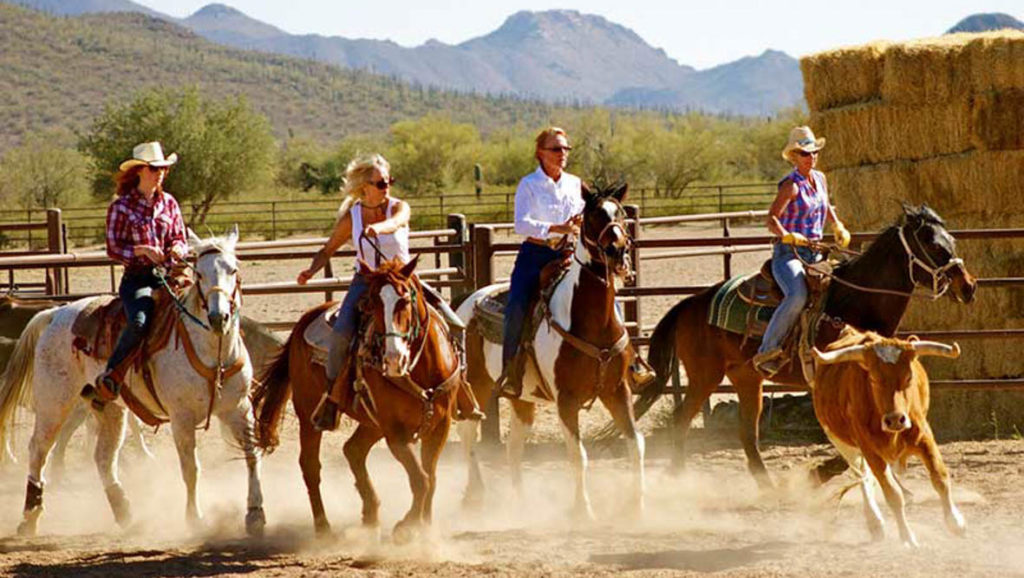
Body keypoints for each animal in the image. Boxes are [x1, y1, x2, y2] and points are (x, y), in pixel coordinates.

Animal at [0, 226, 268, 537]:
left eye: (233, 269)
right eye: (199, 274)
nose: (218, 317)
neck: (213, 351)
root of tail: (56, 313)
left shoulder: (239, 409)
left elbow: (251, 455)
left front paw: (255, 514)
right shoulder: (182, 418)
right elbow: (191, 468)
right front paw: (194, 518)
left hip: (109, 408)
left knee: (103, 457)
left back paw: (125, 512)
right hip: (53, 402)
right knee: (39, 450)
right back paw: (29, 517)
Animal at [253, 257, 462, 541]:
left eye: (404, 300)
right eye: (372, 303)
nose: (392, 359)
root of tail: (301, 324)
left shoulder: (440, 425)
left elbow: (431, 477)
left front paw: (425, 527)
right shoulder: (395, 431)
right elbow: (421, 479)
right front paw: (406, 527)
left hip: (372, 422)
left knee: (352, 450)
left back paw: (370, 515)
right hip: (309, 414)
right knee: (310, 465)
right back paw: (323, 528)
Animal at [454, 181, 638, 518]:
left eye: (620, 213)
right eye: (594, 215)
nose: (618, 251)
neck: (591, 320)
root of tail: (467, 301)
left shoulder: (617, 390)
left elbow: (635, 444)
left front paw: (637, 506)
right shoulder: (567, 399)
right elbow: (577, 455)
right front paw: (583, 511)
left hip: (521, 399)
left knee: (513, 448)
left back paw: (522, 503)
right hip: (476, 385)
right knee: (468, 436)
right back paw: (475, 494)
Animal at [634, 202, 978, 487]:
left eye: (952, 241)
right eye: (933, 244)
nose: (969, 286)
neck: (853, 301)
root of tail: (691, 303)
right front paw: (819, 473)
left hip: (747, 379)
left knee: (747, 433)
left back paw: (768, 486)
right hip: (705, 376)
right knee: (682, 418)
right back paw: (678, 476)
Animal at [811, 329, 962, 545]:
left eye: (908, 377)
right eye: (874, 379)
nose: (895, 419)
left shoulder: (924, 438)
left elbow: (940, 478)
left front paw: (955, 522)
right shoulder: (870, 451)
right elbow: (892, 494)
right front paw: (907, 538)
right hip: (844, 445)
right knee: (862, 477)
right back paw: (875, 522)